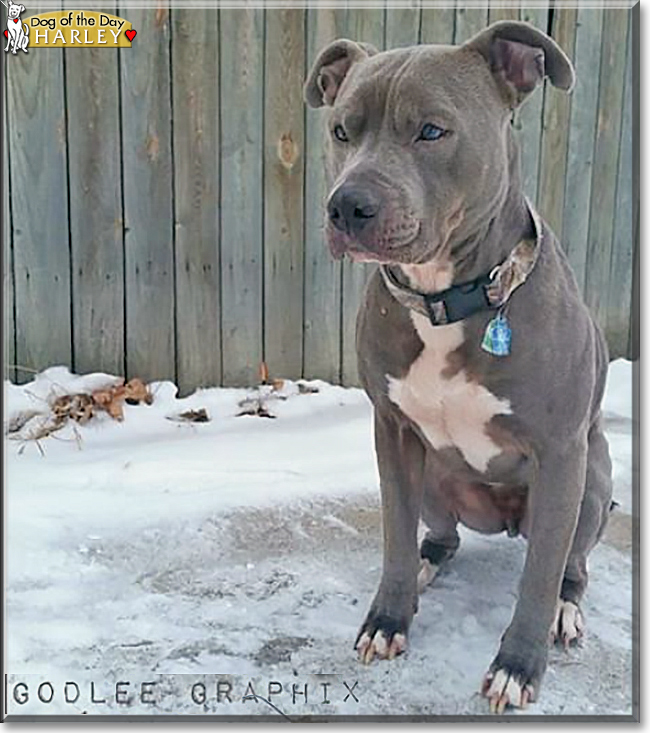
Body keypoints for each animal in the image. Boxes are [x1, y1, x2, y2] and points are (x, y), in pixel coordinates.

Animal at [304, 21, 612, 708]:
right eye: (341, 131)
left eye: (432, 131)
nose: (347, 206)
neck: (445, 297)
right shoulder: (391, 432)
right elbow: (393, 535)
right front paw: (388, 618)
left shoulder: (561, 452)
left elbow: (539, 578)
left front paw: (518, 665)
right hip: (432, 477)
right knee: (439, 537)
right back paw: (427, 563)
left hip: (592, 482)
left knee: (569, 564)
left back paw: (566, 609)